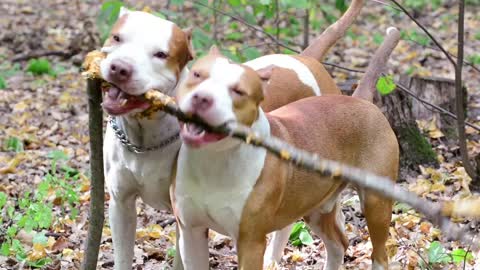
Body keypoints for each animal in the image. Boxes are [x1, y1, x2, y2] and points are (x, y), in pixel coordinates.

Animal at [101, 2, 362, 268]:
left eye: (161, 54)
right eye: (117, 38)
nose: (120, 68)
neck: (146, 136)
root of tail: (305, 58)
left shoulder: (184, 221)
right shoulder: (121, 205)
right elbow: (122, 255)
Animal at [174, 46, 400, 268]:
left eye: (238, 91)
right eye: (197, 75)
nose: (202, 98)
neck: (214, 159)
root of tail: (359, 100)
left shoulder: (250, 242)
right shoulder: (190, 232)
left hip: (376, 203)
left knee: (379, 254)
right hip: (316, 207)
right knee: (338, 245)